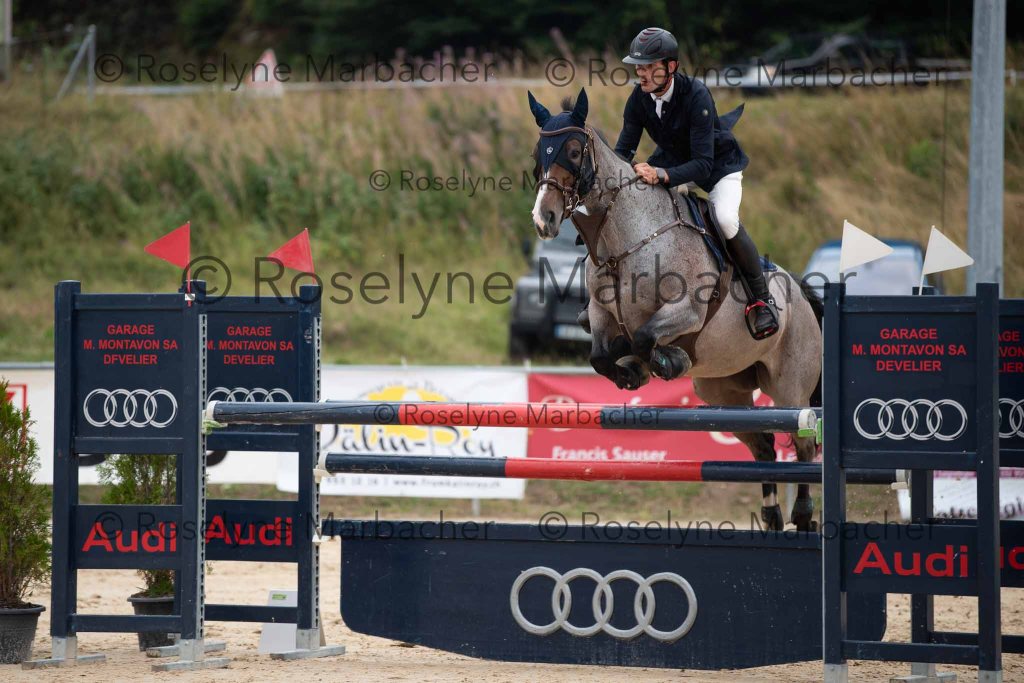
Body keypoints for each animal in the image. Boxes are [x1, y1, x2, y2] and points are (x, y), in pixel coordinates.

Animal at [527, 88, 824, 531]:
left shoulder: (685, 310)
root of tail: (802, 294)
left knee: (803, 444)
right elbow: (601, 355)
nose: (543, 218)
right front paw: (631, 372)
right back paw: (771, 514)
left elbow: (646, 336)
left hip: (790, 386)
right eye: (538, 154)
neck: (625, 241)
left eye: (576, 152)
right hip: (725, 390)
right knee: (764, 443)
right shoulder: (600, 313)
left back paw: (802, 515)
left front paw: (668, 362)